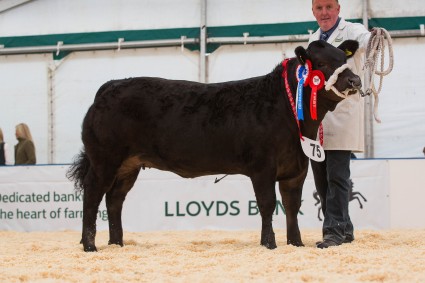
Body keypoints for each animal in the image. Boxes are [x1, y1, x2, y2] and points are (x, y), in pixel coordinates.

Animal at [68, 39, 360, 253]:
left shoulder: (296, 169)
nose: (355, 81)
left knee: (114, 199)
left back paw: (117, 243)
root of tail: (111, 86)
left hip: (129, 165)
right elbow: (267, 205)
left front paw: (296, 243)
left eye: (344, 59)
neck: (286, 109)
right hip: (104, 159)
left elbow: (291, 206)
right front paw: (269, 244)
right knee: (93, 195)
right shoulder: (262, 167)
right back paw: (90, 245)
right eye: (321, 63)